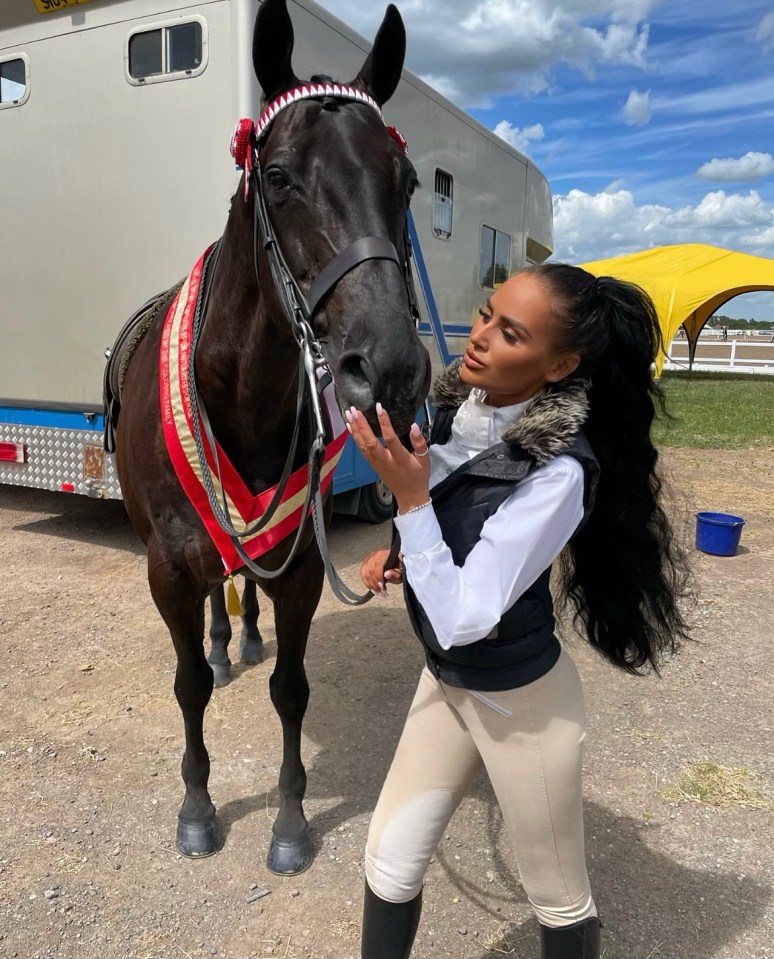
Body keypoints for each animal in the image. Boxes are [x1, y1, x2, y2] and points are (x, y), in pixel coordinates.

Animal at [110, 0, 430, 876]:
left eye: (406, 181)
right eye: (280, 176)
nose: (389, 367)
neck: (242, 393)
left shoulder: (301, 564)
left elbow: (292, 687)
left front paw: (289, 822)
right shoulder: (166, 566)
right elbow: (187, 683)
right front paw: (197, 809)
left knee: (242, 588)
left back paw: (241, 640)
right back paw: (226, 649)